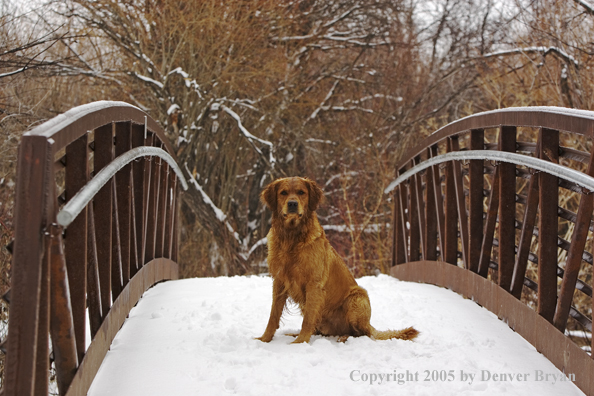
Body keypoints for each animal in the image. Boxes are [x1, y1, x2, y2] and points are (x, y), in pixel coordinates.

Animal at [254, 176, 416, 344]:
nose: (292, 204)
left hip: (357, 297)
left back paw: (343, 337)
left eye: (301, 192)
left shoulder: (314, 284)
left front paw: (300, 342)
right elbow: (273, 315)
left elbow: (308, 320)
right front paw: (264, 339)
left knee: (360, 333)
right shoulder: (279, 281)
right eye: (283, 193)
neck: (291, 238)